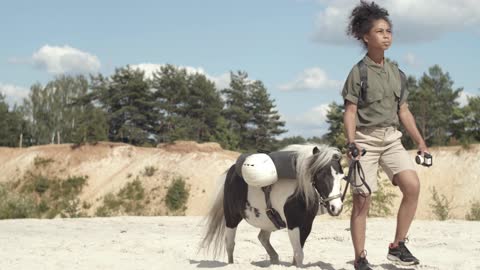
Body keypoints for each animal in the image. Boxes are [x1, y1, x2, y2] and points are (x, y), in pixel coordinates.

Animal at [200, 143, 344, 266]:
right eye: (321, 175)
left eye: (341, 177)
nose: (336, 208)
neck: (300, 191)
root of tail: (231, 170)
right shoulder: (293, 225)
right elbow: (299, 254)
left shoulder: (306, 225)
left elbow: (297, 254)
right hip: (231, 218)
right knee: (230, 244)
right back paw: (231, 263)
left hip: (268, 221)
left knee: (262, 238)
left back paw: (274, 259)